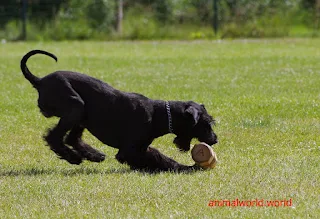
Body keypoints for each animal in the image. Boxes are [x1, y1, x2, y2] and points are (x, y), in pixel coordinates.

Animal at [20, 49, 218, 171]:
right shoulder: (129, 151)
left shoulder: (141, 147)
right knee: (53, 137)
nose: (214, 139)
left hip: (81, 115)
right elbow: (158, 159)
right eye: (206, 123)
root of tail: (40, 81)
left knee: (71, 138)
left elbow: (158, 157)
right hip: (76, 107)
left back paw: (94, 155)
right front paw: (186, 168)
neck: (159, 115)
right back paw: (73, 157)